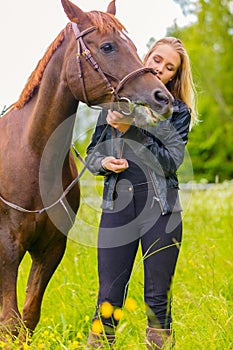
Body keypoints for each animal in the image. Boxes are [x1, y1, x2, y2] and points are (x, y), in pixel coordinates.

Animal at [0, 0, 173, 342]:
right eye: (107, 46)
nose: (162, 97)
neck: (31, 155)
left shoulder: (51, 250)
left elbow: (28, 318)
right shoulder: (7, 250)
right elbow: (10, 325)